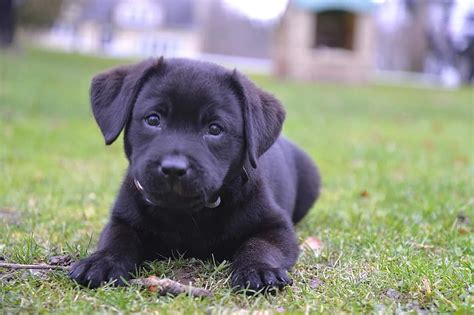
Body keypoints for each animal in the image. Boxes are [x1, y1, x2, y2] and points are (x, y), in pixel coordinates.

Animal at [69, 57, 322, 292]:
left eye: (215, 128)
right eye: (153, 119)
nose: (173, 168)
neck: (187, 215)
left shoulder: (278, 227)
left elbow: (260, 245)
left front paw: (259, 270)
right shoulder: (121, 219)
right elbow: (118, 239)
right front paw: (101, 262)